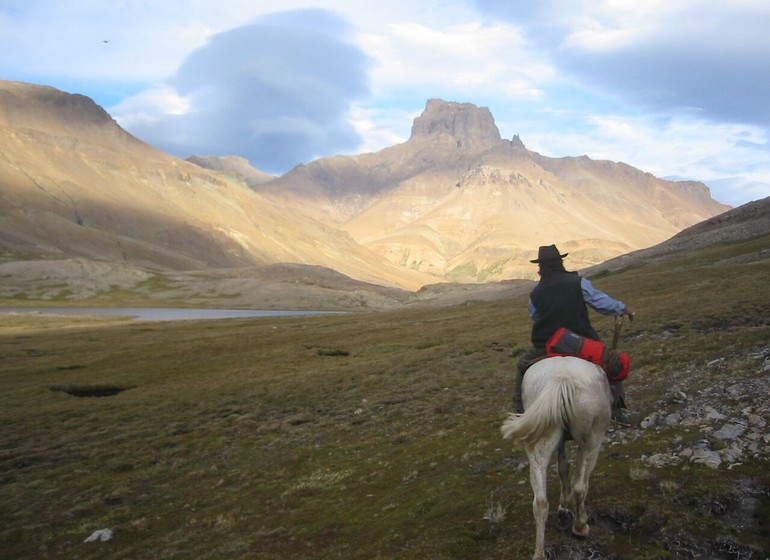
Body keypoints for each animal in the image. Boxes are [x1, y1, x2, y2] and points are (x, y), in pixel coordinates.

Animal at [498, 356, 612, 556]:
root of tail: (561, 378)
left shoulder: (560, 443)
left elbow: (562, 468)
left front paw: (563, 507)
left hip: (541, 441)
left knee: (540, 501)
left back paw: (539, 553)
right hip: (592, 441)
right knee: (580, 486)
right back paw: (580, 526)